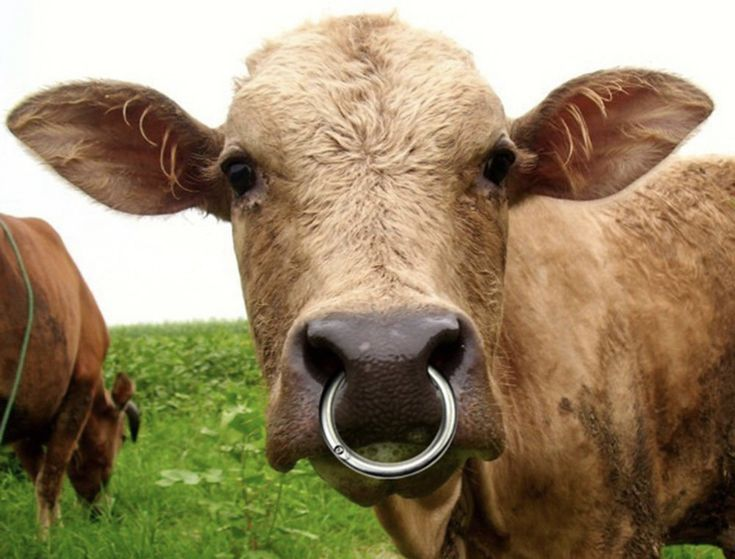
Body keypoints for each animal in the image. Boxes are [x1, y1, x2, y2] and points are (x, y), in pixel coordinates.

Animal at [0, 214, 140, 530]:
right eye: (122, 437)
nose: (100, 512)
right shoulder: (78, 392)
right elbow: (51, 478)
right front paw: (50, 535)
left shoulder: (26, 409)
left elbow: (38, 474)